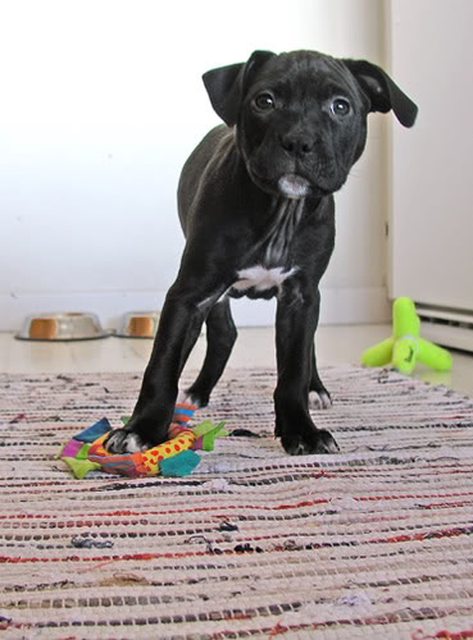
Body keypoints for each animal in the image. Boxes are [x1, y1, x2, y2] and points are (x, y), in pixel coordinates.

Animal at [106, 49, 417, 456]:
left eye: (340, 106)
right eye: (264, 101)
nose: (299, 141)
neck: (281, 211)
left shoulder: (301, 297)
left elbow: (294, 369)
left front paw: (301, 429)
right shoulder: (190, 293)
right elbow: (162, 365)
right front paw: (142, 428)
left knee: (304, 347)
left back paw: (315, 388)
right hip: (215, 293)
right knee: (224, 334)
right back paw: (197, 393)